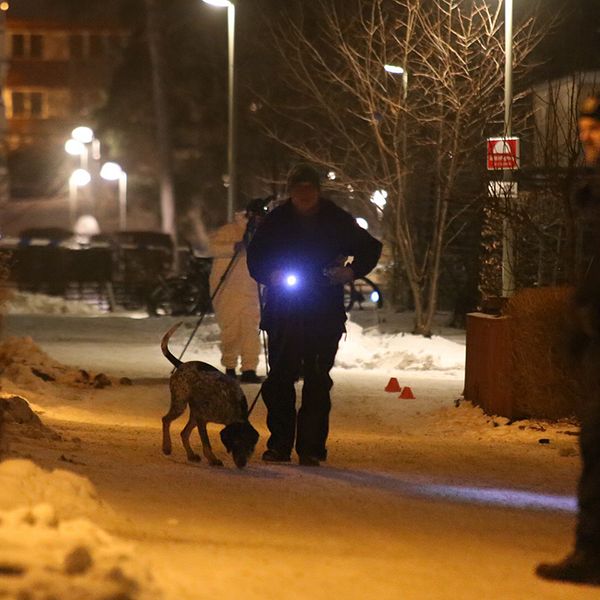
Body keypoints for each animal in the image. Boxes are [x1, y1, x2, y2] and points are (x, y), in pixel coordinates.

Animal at [161, 324, 258, 468]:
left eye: (249, 446)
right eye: (235, 443)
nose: (241, 464)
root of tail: (182, 364)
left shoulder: (200, 417)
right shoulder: (202, 419)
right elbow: (206, 444)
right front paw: (212, 459)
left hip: (193, 413)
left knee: (184, 433)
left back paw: (191, 455)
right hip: (180, 404)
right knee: (166, 420)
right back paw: (167, 446)